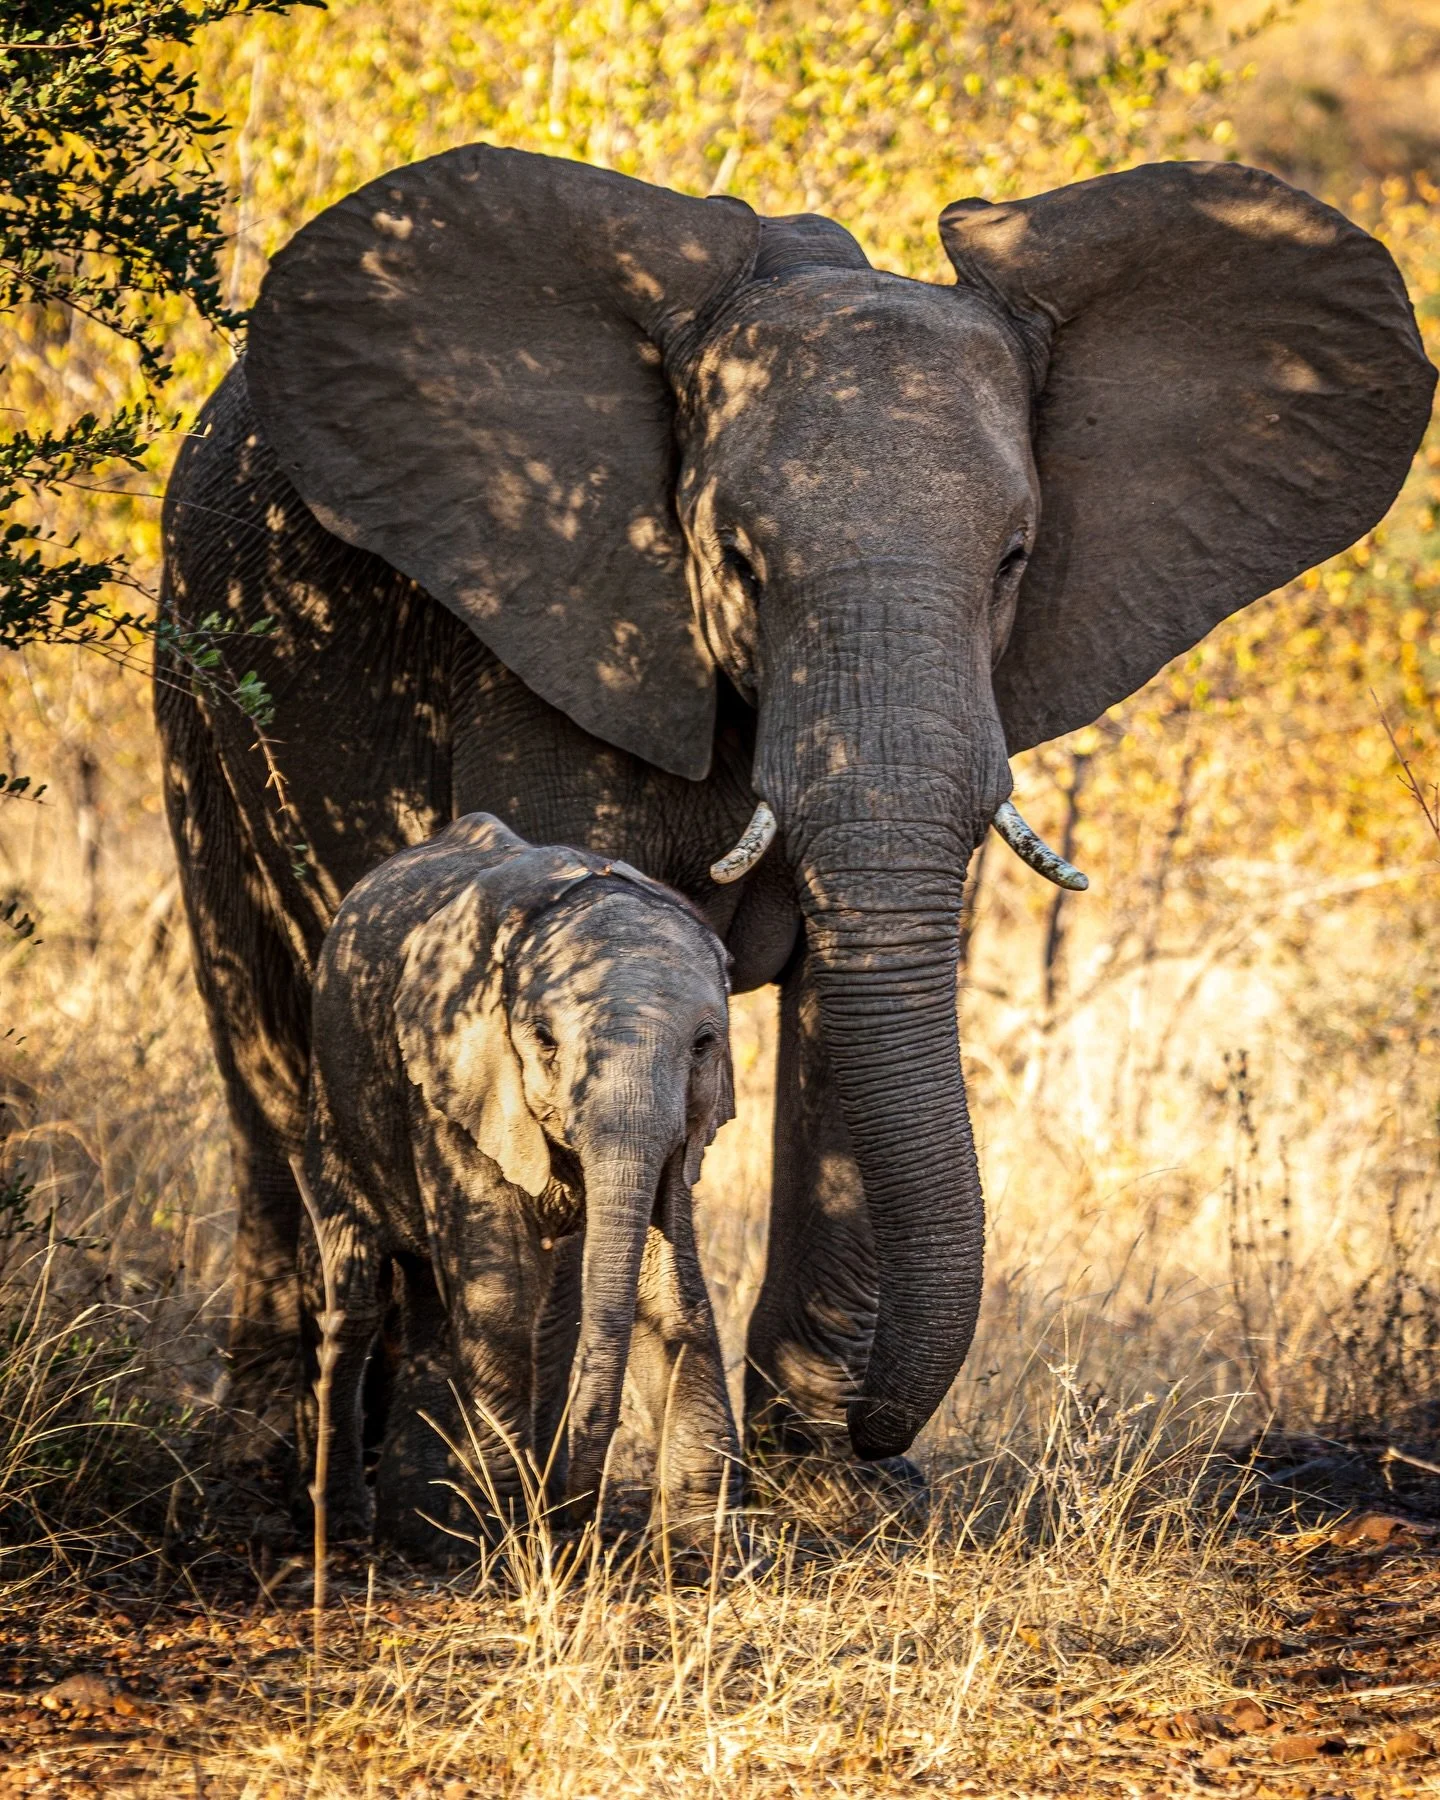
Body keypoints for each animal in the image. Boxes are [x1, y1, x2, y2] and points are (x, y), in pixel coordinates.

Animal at [156, 146, 1434, 1476]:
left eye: (1015, 562)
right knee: (255, 1024)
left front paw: (827, 1483)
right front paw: (574, 1471)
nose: (883, 1433)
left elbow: (854, 1001)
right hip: (196, 668)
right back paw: (269, 1447)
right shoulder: (543, 634)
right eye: (737, 563)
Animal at [295, 810, 737, 1560]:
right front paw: (509, 1536)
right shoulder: (458, 1075)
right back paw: (351, 1530)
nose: (579, 1523)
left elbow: (672, 1287)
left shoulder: (684, 1125)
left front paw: (710, 1558)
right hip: (331, 1098)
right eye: (543, 1038)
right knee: (358, 1293)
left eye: (705, 1044)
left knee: (462, 1297)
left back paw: (425, 1531)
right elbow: (501, 1289)